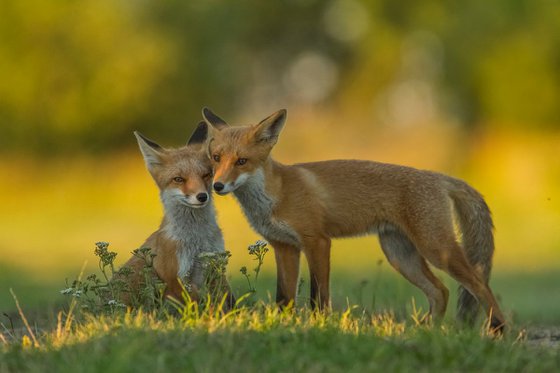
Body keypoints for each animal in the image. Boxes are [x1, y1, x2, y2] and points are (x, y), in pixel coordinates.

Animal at [117, 123, 233, 306]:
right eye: (179, 179)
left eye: (206, 175)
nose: (202, 196)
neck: (197, 239)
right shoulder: (175, 278)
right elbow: (196, 302)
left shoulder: (214, 265)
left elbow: (225, 299)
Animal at [203, 107, 506, 332]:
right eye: (216, 157)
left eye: (242, 161)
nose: (217, 186)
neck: (275, 195)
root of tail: (438, 176)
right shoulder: (284, 247)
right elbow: (283, 298)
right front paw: (283, 325)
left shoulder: (317, 242)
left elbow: (318, 296)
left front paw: (319, 326)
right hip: (400, 255)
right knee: (441, 291)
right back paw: (429, 332)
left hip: (436, 249)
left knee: (480, 284)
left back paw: (498, 331)